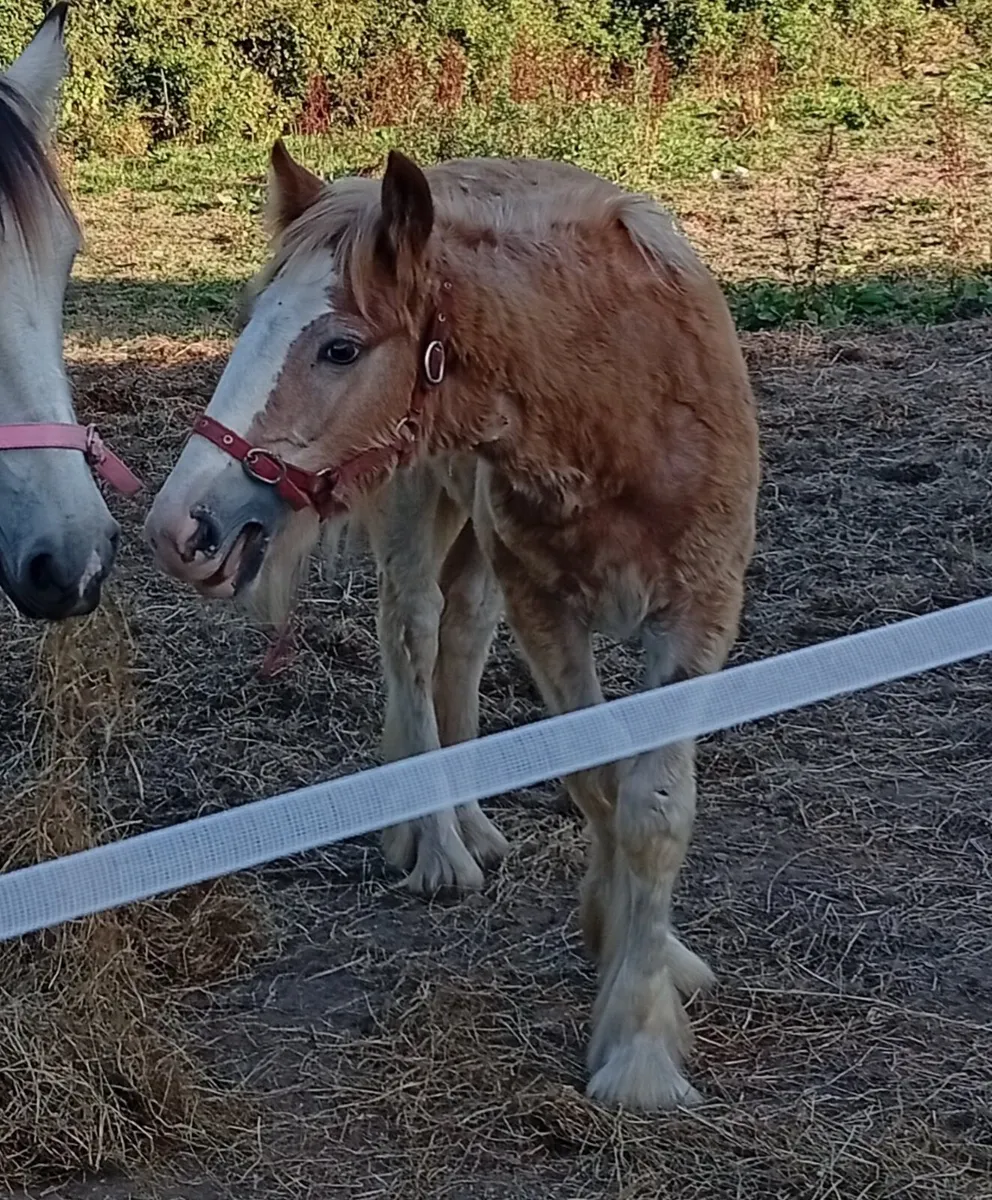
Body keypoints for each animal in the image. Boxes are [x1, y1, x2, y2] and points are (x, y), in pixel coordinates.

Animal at [145, 144, 760, 1111]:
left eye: (340, 347)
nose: (181, 527)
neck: (621, 405)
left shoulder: (698, 615)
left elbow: (651, 806)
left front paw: (646, 1012)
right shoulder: (550, 611)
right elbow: (599, 782)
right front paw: (632, 1007)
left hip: (477, 549)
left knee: (461, 647)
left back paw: (471, 826)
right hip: (418, 512)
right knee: (413, 636)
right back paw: (438, 849)